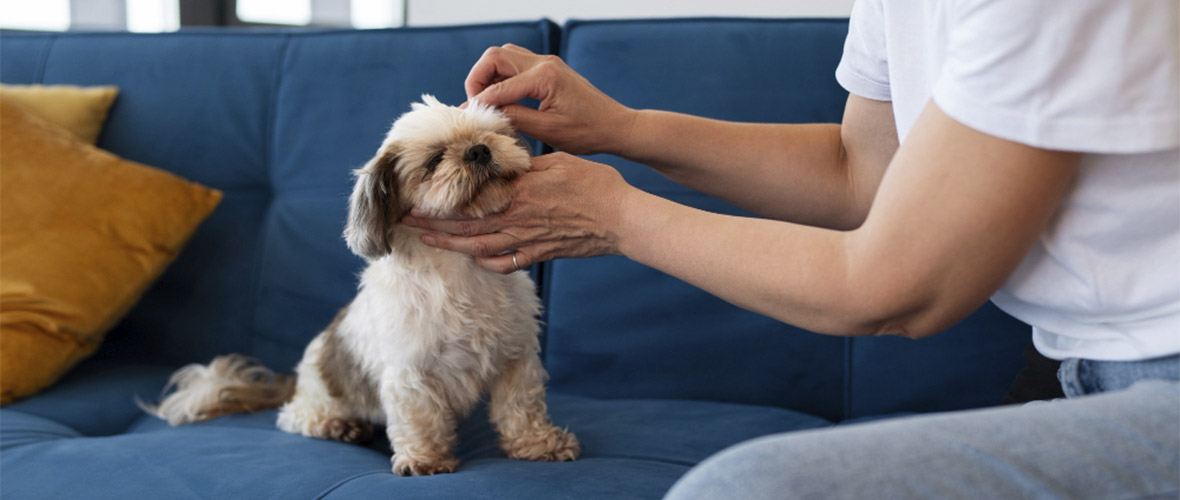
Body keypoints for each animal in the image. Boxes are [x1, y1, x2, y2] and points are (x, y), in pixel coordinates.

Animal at [142, 94, 580, 476]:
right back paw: (339, 426)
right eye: (434, 160)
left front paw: (539, 445)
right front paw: (423, 459)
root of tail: (296, 378)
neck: (460, 270)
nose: (478, 151)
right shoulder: (409, 373)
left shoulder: (516, 357)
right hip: (322, 398)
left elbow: (520, 408)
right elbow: (420, 418)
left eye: (492, 134)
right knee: (294, 418)